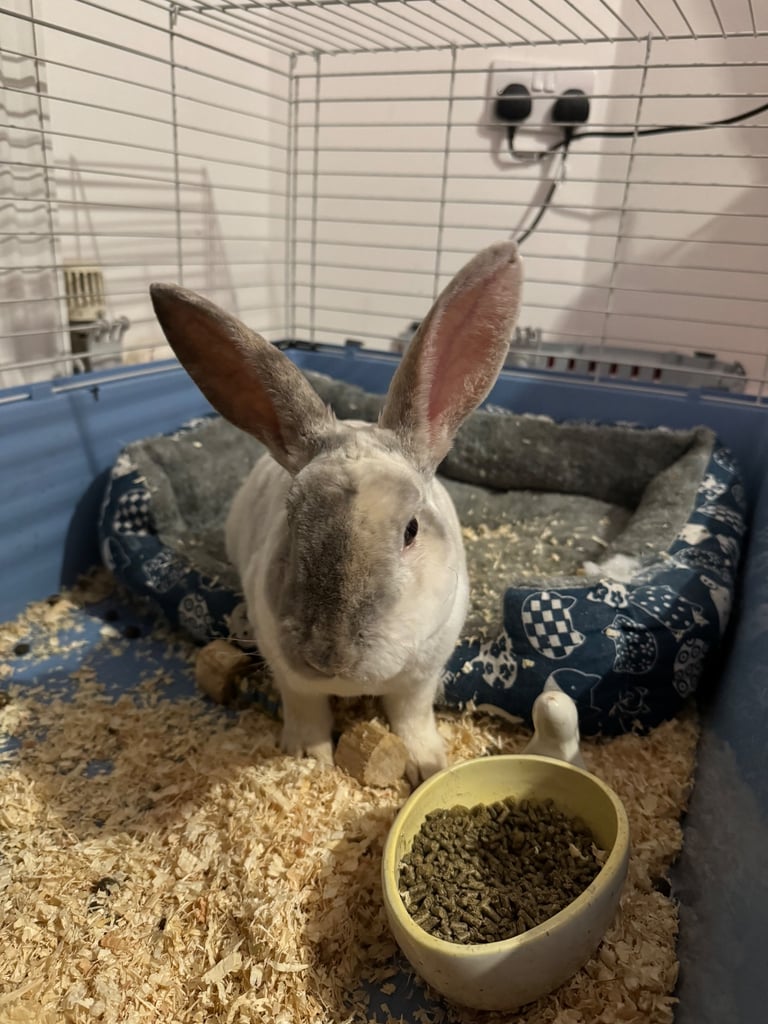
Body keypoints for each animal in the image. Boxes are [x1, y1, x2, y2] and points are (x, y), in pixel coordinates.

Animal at [149, 242, 523, 783]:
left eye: (411, 529)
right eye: (292, 519)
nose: (330, 654)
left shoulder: (423, 672)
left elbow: (411, 715)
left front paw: (427, 764)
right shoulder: (290, 674)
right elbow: (307, 709)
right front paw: (309, 759)